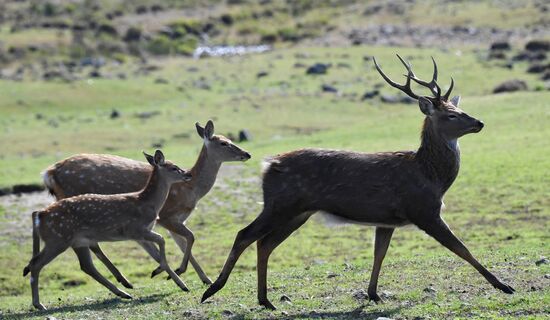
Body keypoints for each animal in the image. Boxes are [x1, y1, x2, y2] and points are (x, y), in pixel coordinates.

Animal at [23, 151, 192, 312]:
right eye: (174, 167)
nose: (188, 174)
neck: (148, 203)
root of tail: (40, 216)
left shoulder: (141, 233)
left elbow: (158, 249)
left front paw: (177, 281)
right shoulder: (136, 229)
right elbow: (162, 240)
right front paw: (168, 275)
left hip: (77, 241)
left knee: (85, 266)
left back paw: (124, 293)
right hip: (58, 239)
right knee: (36, 263)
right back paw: (39, 305)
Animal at [43, 121, 252, 286]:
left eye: (229, 139)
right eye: (224, 143)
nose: (247, 153)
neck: (191, 190)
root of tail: (49, 173)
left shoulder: (176, 220)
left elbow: (184, 244)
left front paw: (204, 279)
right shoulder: (167, 216)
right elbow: (190, 238)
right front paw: (179, 271)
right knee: (92, 245)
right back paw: (124, 281)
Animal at [203, 55, 516, 310]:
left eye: (459, 108)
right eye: (451, 114)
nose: (479, 123)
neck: (431, 176)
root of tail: (269, 164)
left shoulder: (387, 219)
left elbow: (380, 254)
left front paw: (373, 294)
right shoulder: (423, 211)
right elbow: (462, 248)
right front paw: (503, 285)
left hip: (298, 211)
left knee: (265, 243)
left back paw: (265, 300)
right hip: (280, 204)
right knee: (244, 234)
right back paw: (213, 290)